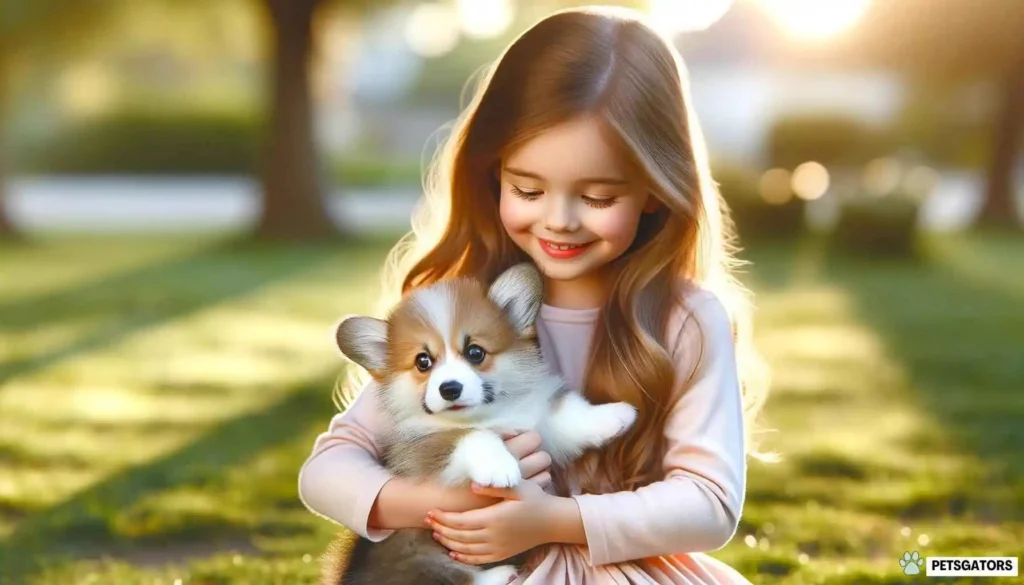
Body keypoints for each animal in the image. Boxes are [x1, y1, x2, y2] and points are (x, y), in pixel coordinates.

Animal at [323, 264, 634, 585]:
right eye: (423, 361)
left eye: (475, 352)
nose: (450, 388)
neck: (487, 415)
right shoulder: (422, 451)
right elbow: (471, 437)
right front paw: (498, 467)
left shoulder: (539, 425)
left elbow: (567, 416)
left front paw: (616, 415)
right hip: (417, 550)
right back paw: (500, 573)